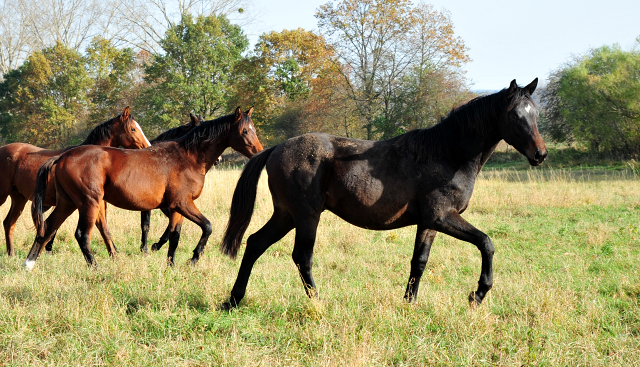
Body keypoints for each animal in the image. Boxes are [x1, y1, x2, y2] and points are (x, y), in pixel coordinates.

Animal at [0, 106, 150, 256]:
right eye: (133, 129)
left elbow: (103, 227)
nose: (147, 147)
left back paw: (11, 253)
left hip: (19, 198)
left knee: (9, 223)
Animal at [25, 106, 260, 270]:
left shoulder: (177, 208)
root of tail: (63, 156)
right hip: (88, 203)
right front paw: (193, 258)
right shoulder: (182, 204)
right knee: (82, 235)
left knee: (47, 228)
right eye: (245, 131)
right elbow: (207, 227)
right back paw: (95, 268)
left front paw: (171, 264)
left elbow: (174, 236)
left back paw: (29, 263)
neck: (188, 157)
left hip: (68, 203)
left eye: (254, 129)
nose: (259, 152)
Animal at [220, 79, 544, 310]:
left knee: (255, 243)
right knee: (302, 256)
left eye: (536, 114)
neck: (448, 154)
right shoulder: (443, 217)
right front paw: (478, 294)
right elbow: (486, 243)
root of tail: (277, 148)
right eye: (515, 116)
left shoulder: (428, 223)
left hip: (286, 215)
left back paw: (233, 300)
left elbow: (419, 262)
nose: (540, 154)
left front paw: (410, 303)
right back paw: (318, 302)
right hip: (306, 216)